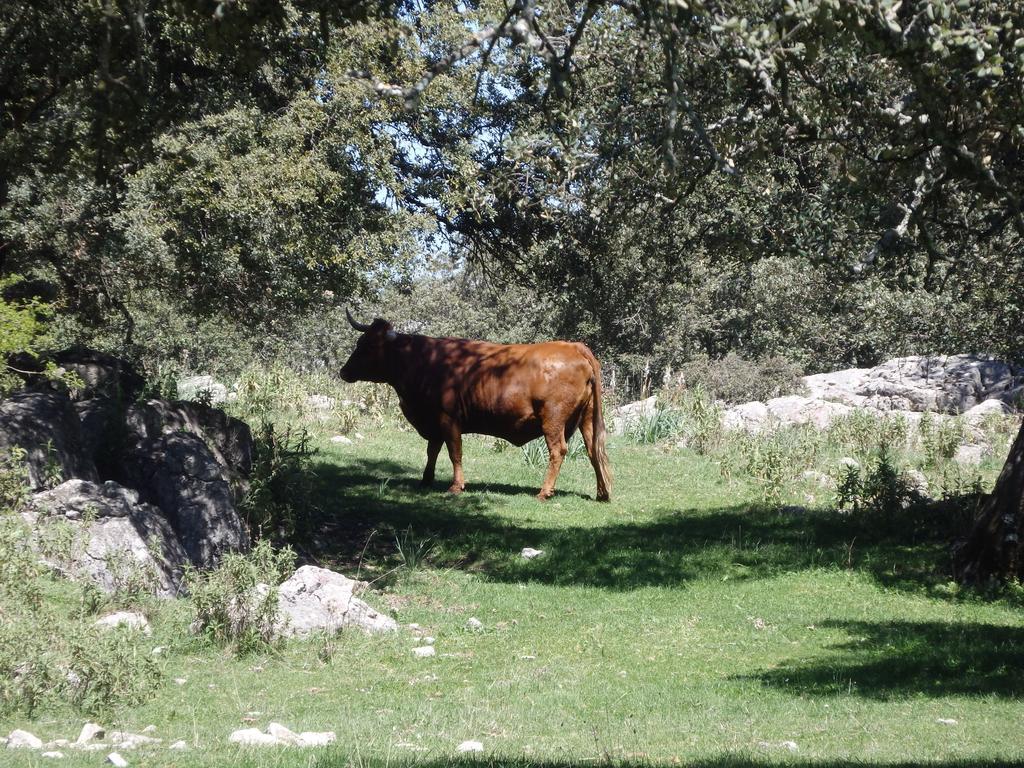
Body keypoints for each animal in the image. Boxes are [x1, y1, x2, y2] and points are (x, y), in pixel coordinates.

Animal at [339, 309, 610, 501]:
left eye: (368, 346)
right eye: (360, 341)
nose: (343, 372)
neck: (424, 362)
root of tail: (573, 346)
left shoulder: (448, 418)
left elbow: (454, 452)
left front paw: (456, 486)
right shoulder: (433, 422)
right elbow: (432, 451)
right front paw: (425, 480)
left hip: (553, 419)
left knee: (558, 451)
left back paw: (544, 492)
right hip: (587, 418)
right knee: (593, 450)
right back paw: (602, 493)